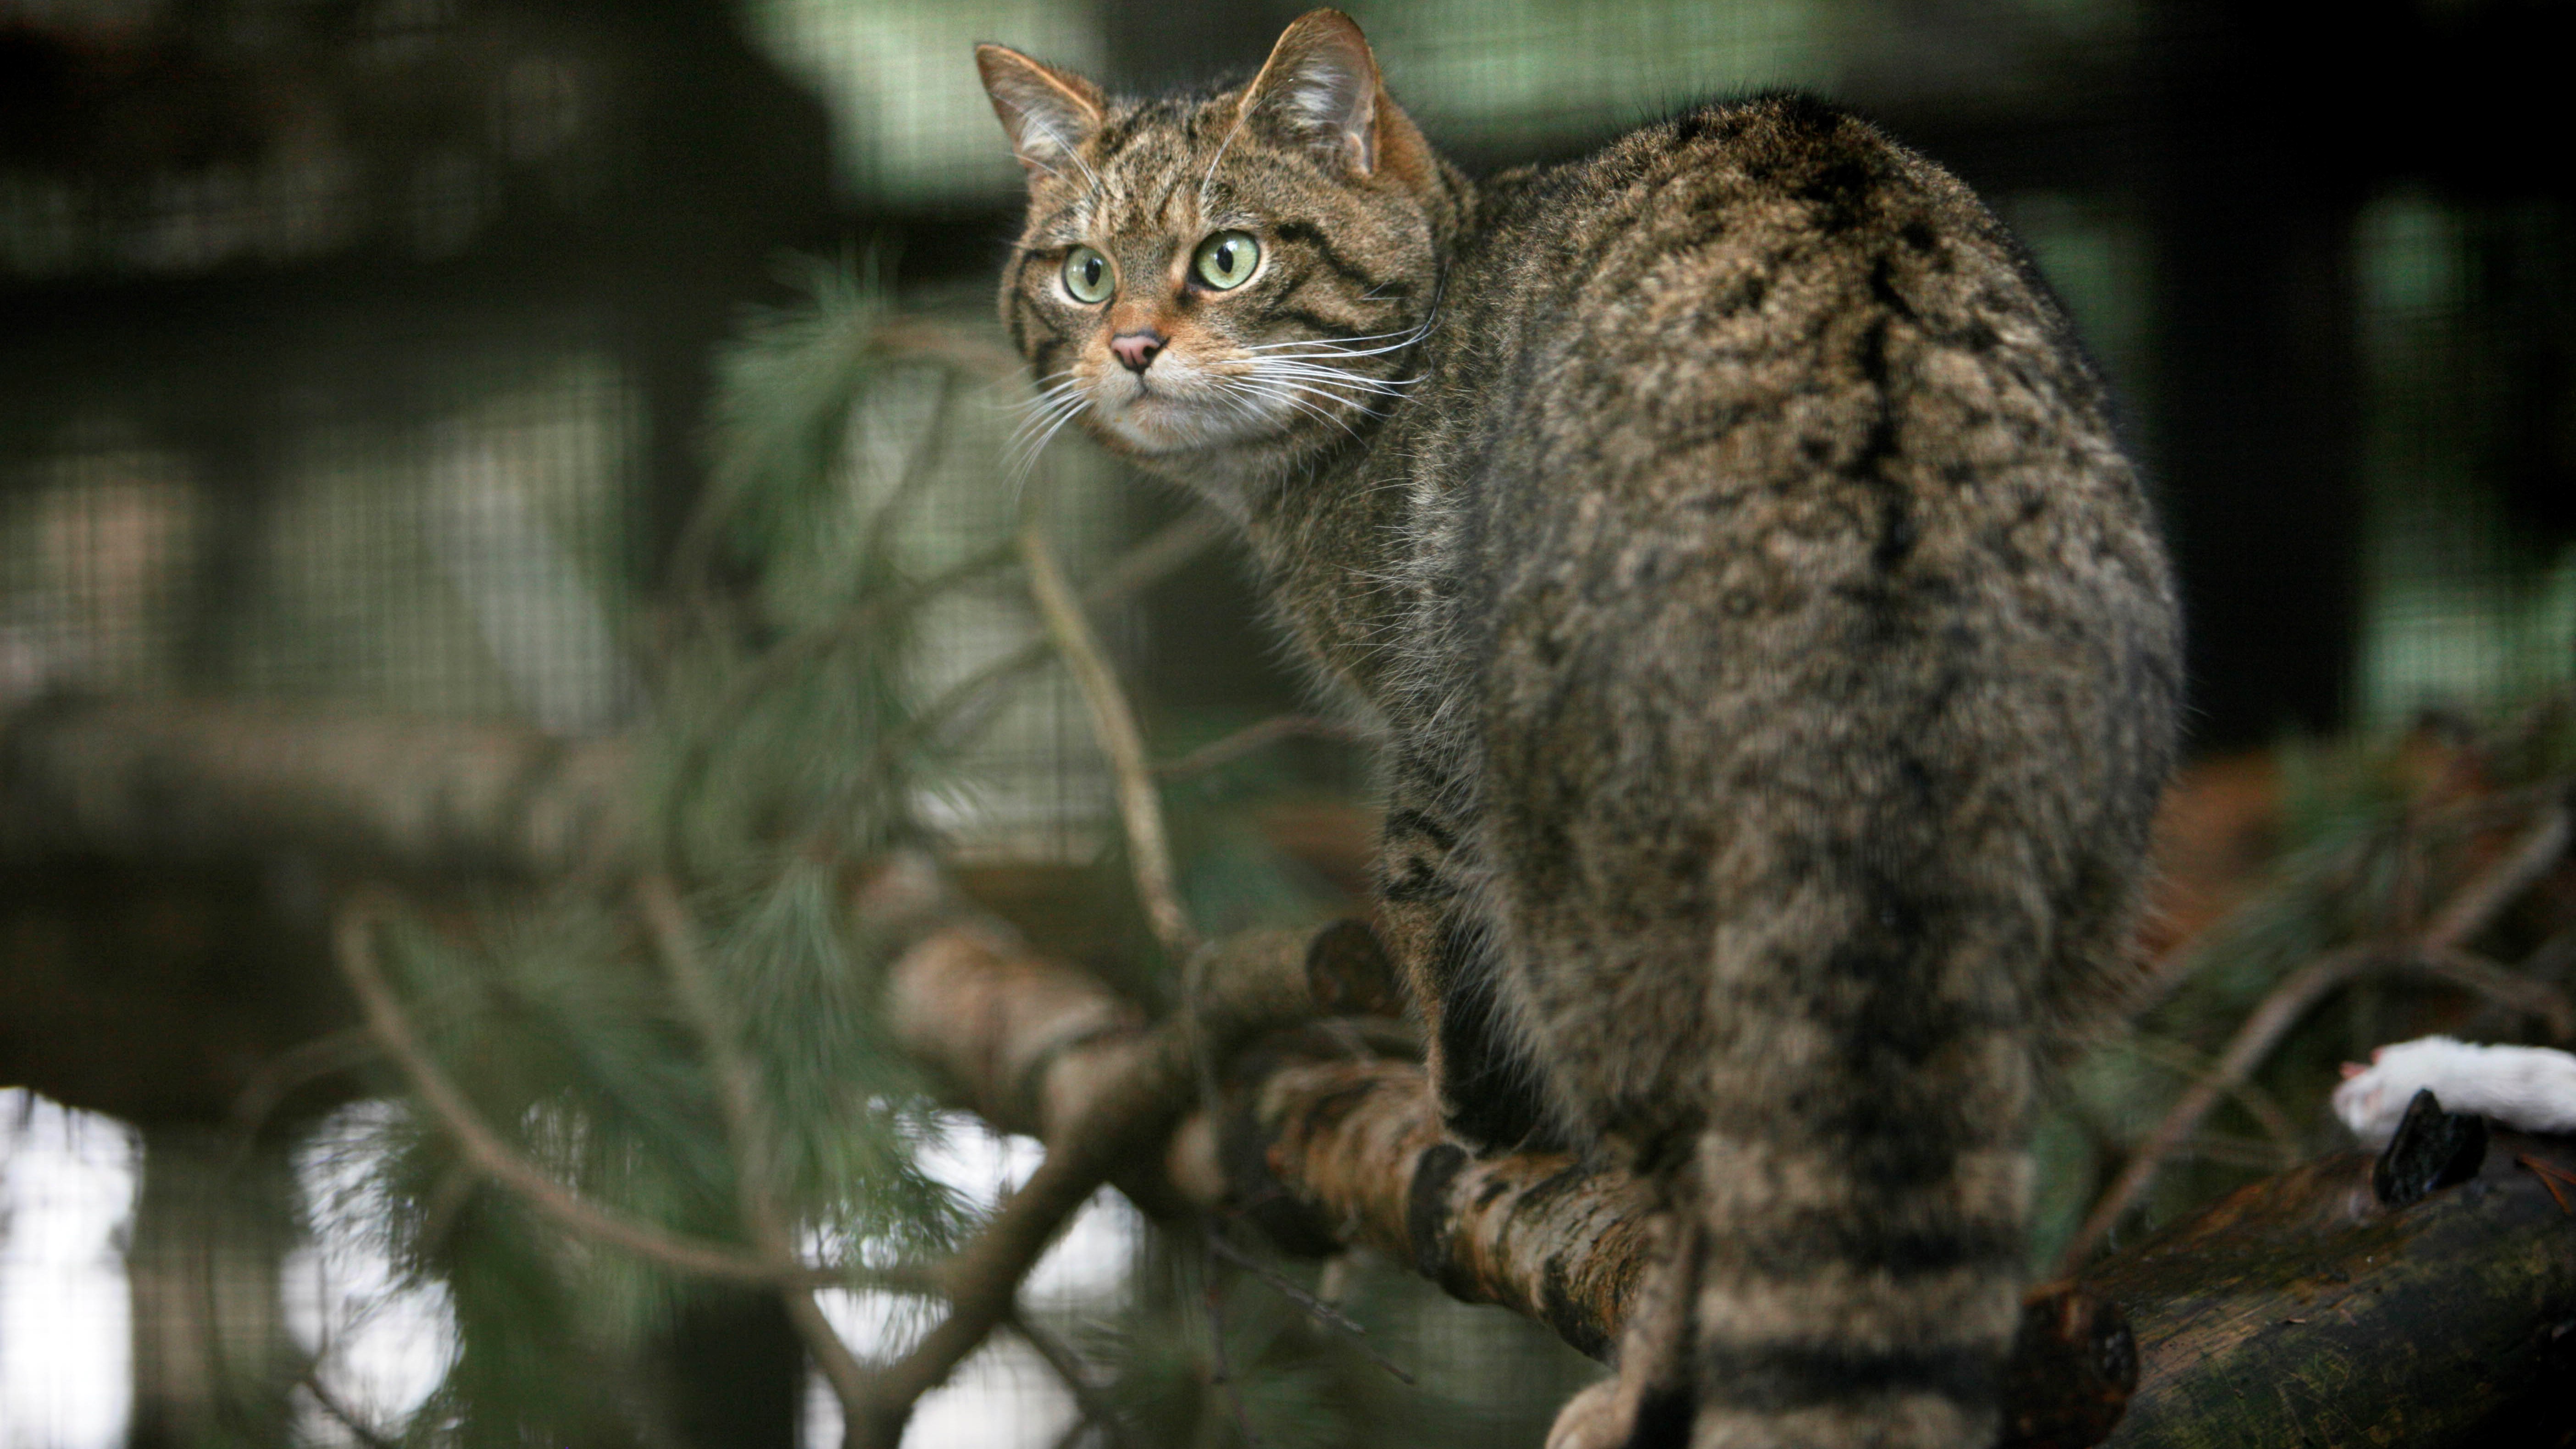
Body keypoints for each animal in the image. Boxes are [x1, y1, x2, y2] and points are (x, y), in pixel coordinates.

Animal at [979, 14, 2174, 1443]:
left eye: (1229, 257)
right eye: (1085, 275)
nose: (1133, 347)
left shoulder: (1434, 726)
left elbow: (1423, 901)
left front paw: (1471, 1103)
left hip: (1593, 906)